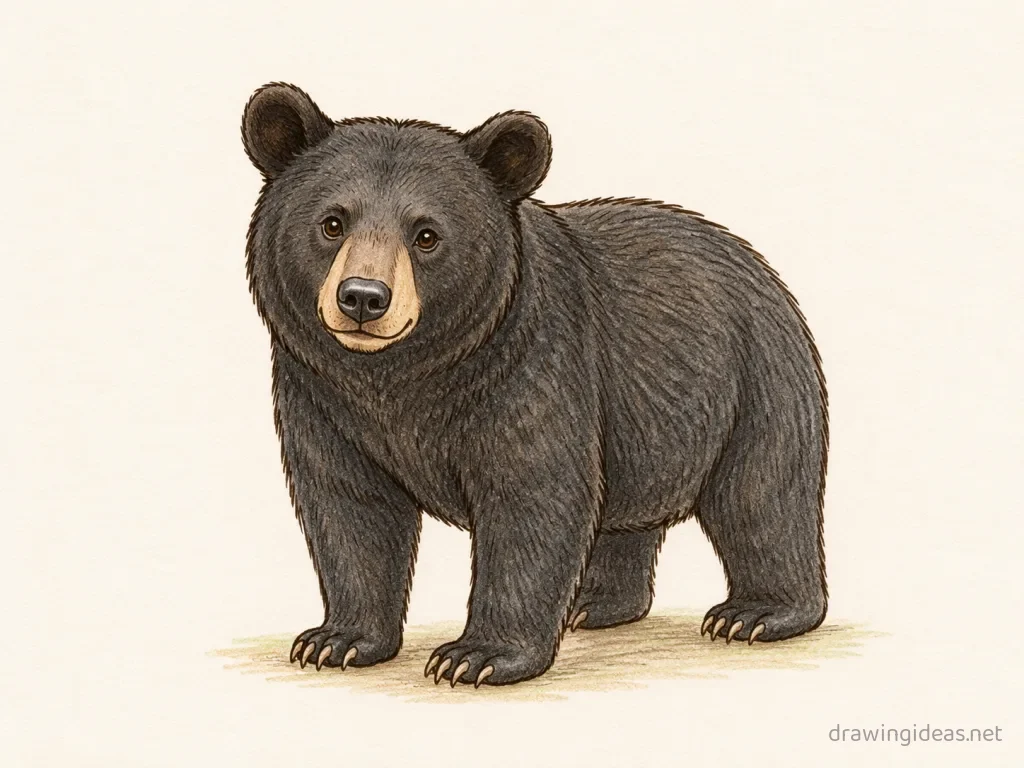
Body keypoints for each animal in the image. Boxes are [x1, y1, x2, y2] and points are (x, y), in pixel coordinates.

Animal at [240, 82, 829, 687]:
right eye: (332, 222)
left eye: (427, 235)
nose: (362, 297)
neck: (402, 374)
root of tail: (763, 269)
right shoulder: (322, 395)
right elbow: (349, 507)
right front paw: (335, 640)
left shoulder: (530, 365)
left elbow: (532, 495)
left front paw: (476, 655)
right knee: (628, 511)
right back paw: (596, 603)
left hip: (757, 379)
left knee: (760, 496)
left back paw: (755, 613)